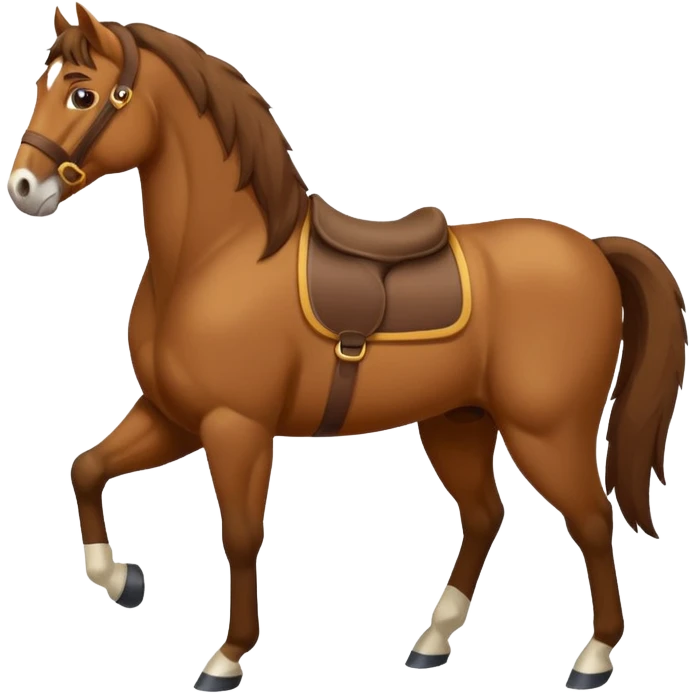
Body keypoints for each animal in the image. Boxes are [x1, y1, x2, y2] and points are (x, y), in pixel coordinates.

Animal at [7, 4, 687, 692]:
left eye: (82, 93)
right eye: (43, 85)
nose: (24, 188)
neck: (217, 256)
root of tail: (594, 250)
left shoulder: (235, 427)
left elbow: (242, 535)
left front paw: (228, 656)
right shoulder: (174, 416)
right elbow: (86, 468)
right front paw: (123, 581)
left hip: (546, 431)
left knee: (591, 520)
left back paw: (593, 657)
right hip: (459, 423)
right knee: (484, 516)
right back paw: (432, 642)